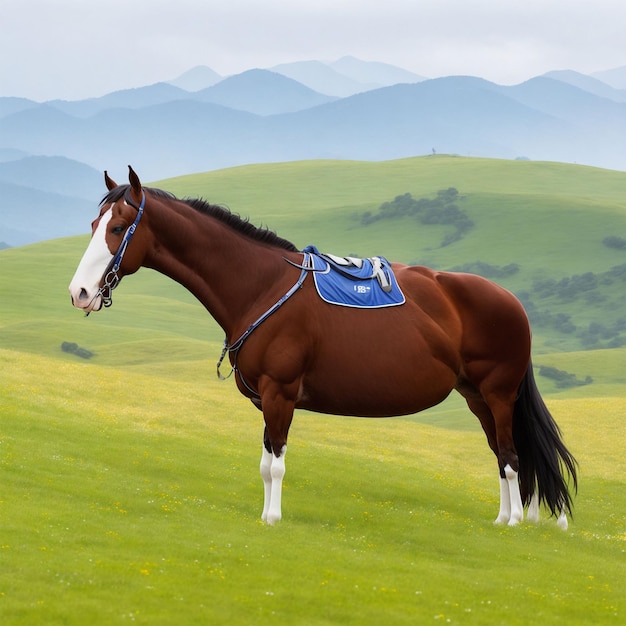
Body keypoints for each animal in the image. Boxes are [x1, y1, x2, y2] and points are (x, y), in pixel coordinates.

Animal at [68, 165, 576, 528]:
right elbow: (265, 461)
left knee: (511, 457)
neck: (261, 285)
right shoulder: (267, 400)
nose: (80, 292)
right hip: (476, 398)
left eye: (118, 229)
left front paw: (272, 519)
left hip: (498, 394)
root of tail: (511, 302)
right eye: (94, 223)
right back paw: (503, 517)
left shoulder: (281, 392)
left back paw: (512, 521)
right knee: (502, 455)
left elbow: (275, 464)